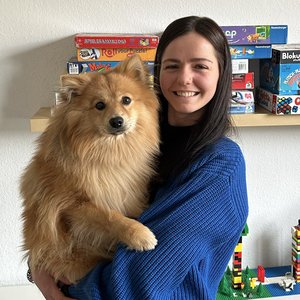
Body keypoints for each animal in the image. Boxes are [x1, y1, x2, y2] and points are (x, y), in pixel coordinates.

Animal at [20, 54, 161, 284]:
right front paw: (139, 234)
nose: (117, 121)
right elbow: (111, 217)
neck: (107, 151)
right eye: (99, 105)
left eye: (126, 100)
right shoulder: (70, 204)